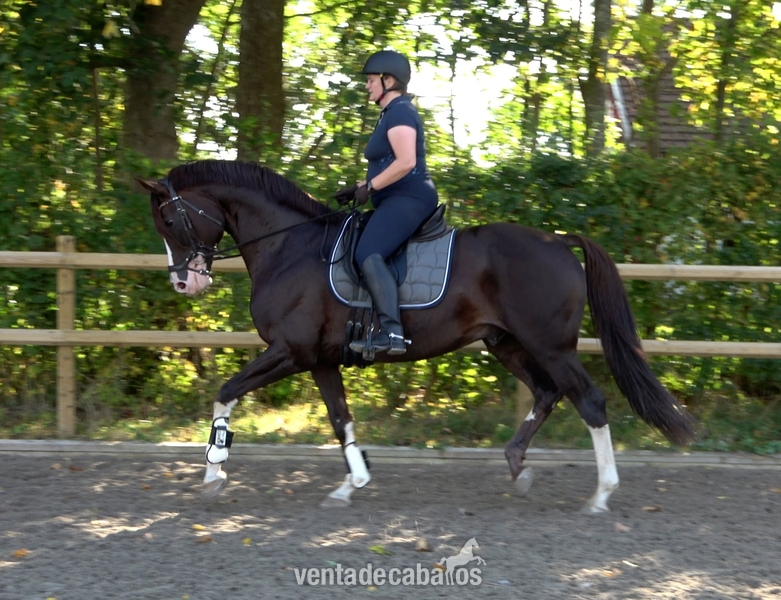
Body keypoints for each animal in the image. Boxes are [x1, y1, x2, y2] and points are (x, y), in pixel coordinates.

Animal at [138, 159, 699, 513]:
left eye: (169, 221)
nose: (185, 283)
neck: (289, 247)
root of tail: (556, 240)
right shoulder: (320, 359)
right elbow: (340, 420)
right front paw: (353, 484)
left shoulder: (289, 352)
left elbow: (225, 392)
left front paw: (213, 472)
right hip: (507, 343)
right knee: (547, 393)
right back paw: (518, 467)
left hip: (549, 346)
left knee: (590, 401)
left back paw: (601, 494)